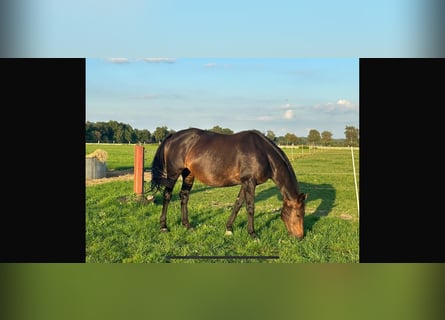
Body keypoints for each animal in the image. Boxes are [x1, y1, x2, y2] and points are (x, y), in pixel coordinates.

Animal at [148, 128, 306, 240]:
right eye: (298, 214)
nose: (300, 237)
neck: (263, 153)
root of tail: (173, 136)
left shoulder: (246, 183)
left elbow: (238, 204)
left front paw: (229, 228)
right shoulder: (250, 182)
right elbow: (250, 207)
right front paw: (253, 233)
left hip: (188, 174)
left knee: (184, 196)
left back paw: (187, 225)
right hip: (173, 173)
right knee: (167, 195)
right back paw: (163, 226)